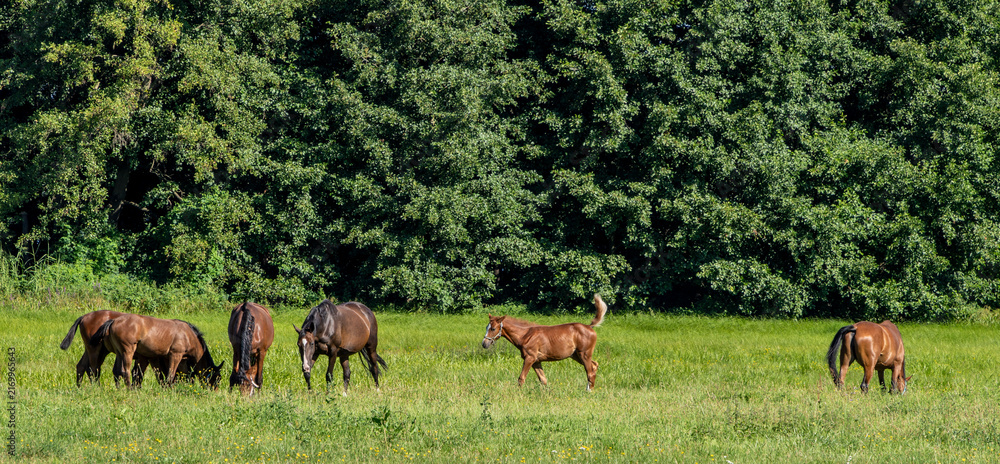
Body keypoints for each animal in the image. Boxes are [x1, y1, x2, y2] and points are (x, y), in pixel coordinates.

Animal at [89, 314, 224, 389]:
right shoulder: (175, 355)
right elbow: (170, 375)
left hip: (119, 352)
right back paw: (129, 389)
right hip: (128, 351)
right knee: (125, 371)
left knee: (117, 371)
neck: (188, 335)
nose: (214, 391)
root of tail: (114, 321)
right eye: (217, 378)